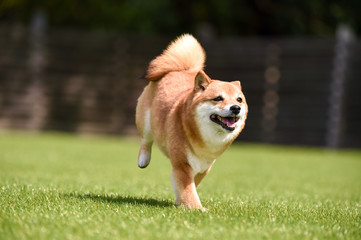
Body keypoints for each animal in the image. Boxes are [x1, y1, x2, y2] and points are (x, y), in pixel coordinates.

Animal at [136, 33, 248, 208]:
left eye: (239, 99)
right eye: (218, 98)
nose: (236, 108)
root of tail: (182, 69)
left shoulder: (205, 166)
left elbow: (191, 184)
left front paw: (180, 202)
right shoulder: (182, 163)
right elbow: (189, 189)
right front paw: (196, 208)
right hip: (146, 122)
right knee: (145, 140)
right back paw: (143, 159)